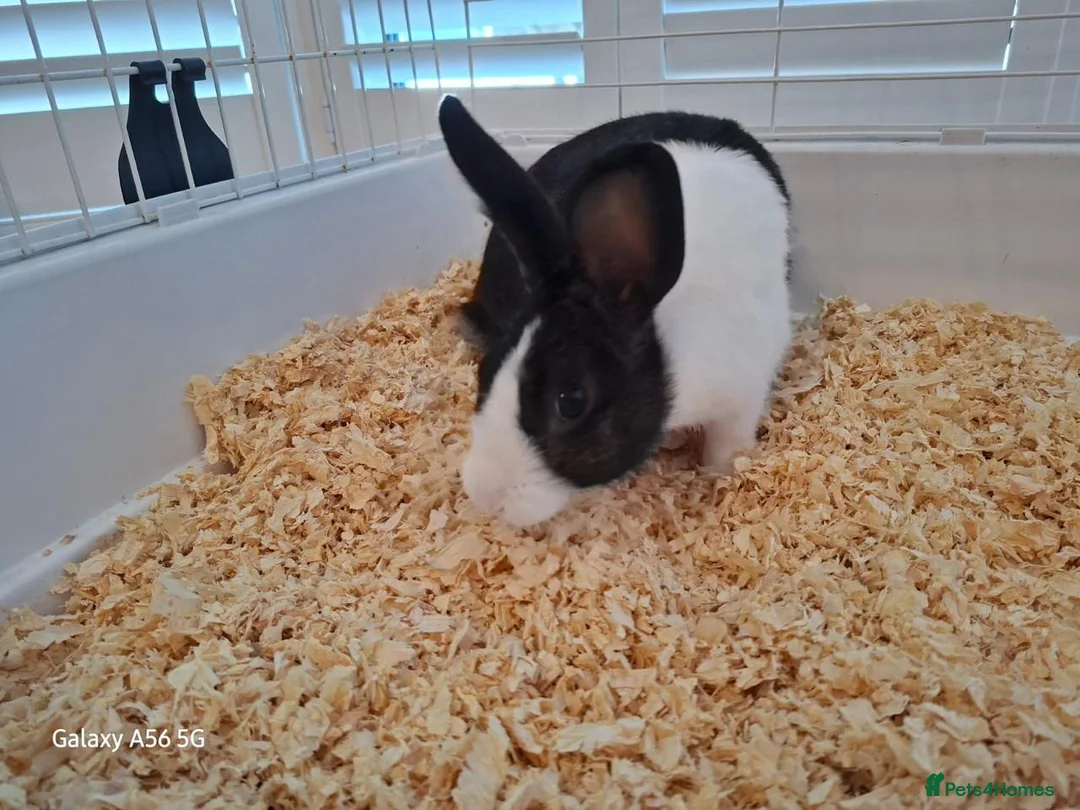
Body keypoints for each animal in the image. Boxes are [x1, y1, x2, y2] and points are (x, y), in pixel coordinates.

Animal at [437, 94, 793, 528]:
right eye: (486, 369)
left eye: (571, 401)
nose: (485, 496)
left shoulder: (745, 394)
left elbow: (728, 446)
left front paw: (719, 477)